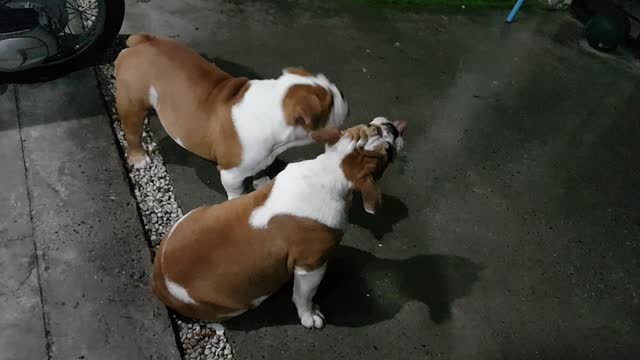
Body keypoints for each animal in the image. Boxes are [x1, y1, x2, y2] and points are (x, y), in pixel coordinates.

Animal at [112, 33, 348, 200]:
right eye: (330, 103)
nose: (342, 93)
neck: (273, 107)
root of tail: (143, 42)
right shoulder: (231, 173)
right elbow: (236, 190)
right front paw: (239, 198)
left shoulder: (265, 154)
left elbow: (262, 168)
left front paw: (262, 180)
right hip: (132, 104)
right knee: (132, 132)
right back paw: (138, 158)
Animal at [152, 116, 408, 328]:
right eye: (387, 150)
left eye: (371, 126)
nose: (392, 127)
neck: (332, 169)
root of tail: (159, 283)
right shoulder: (310, 266)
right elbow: (304, 295)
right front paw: (309, 315)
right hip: (234, 306)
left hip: (193, 214)